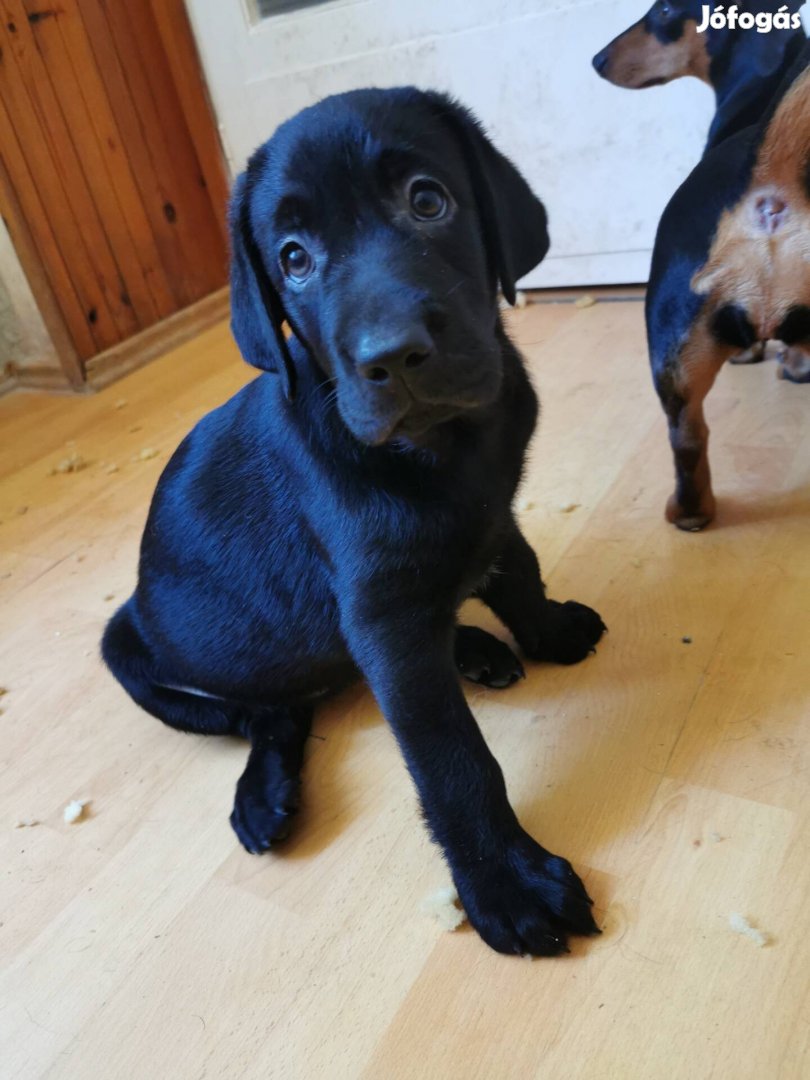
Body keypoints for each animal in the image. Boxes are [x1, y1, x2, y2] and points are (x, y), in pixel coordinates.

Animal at [103, 88, 609, 959]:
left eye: (427, 200)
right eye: (294, 259)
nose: (393, 356)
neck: (444, 447)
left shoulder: (492, 511)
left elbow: (519, 567)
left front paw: (545, 630)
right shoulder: (383, 616)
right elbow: (451, 758)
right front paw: (506, 883)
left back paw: (474, 649)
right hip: (133, 655)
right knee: (270, 714)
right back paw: (264, 793)